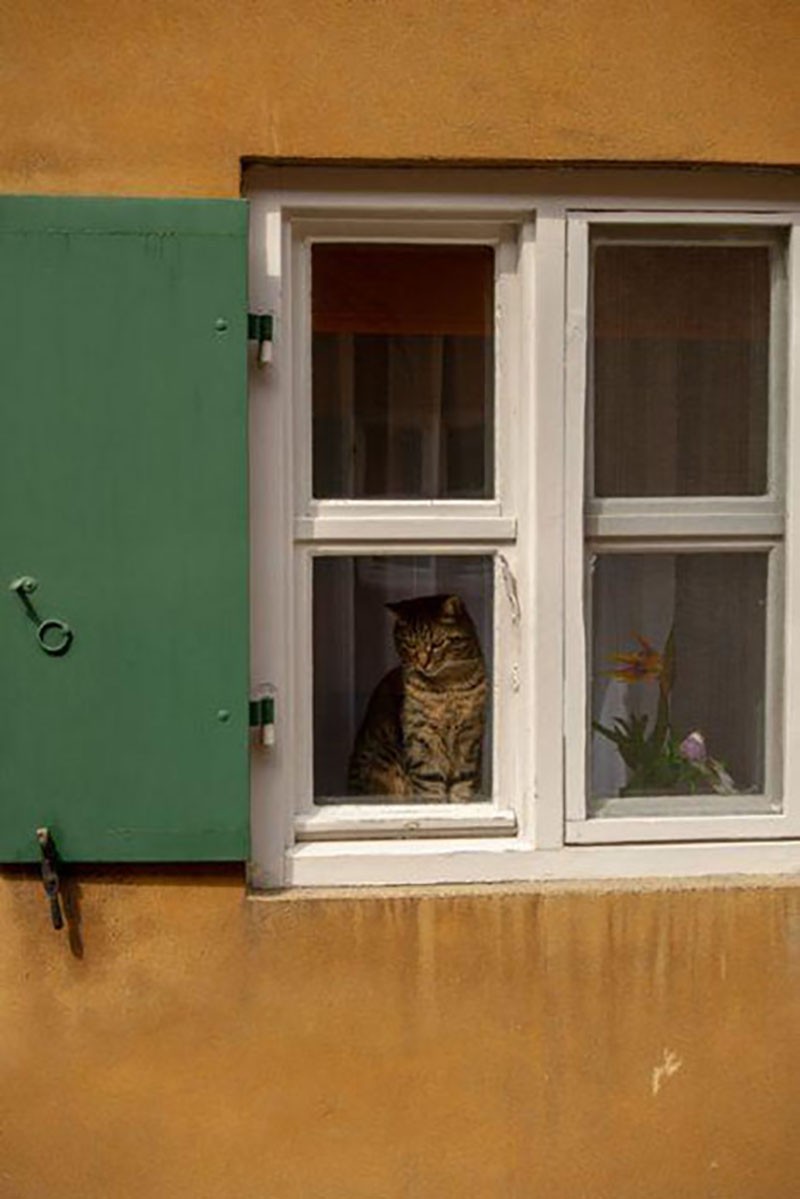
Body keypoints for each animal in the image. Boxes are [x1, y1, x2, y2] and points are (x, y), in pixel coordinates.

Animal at [347, 592, 489, 800]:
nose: (423, 663)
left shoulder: (470, 734)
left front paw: (460, 802)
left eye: (437, 643)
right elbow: (429, 783)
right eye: (410, 644)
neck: (448, 688)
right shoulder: (421, 735)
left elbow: (463, 781)